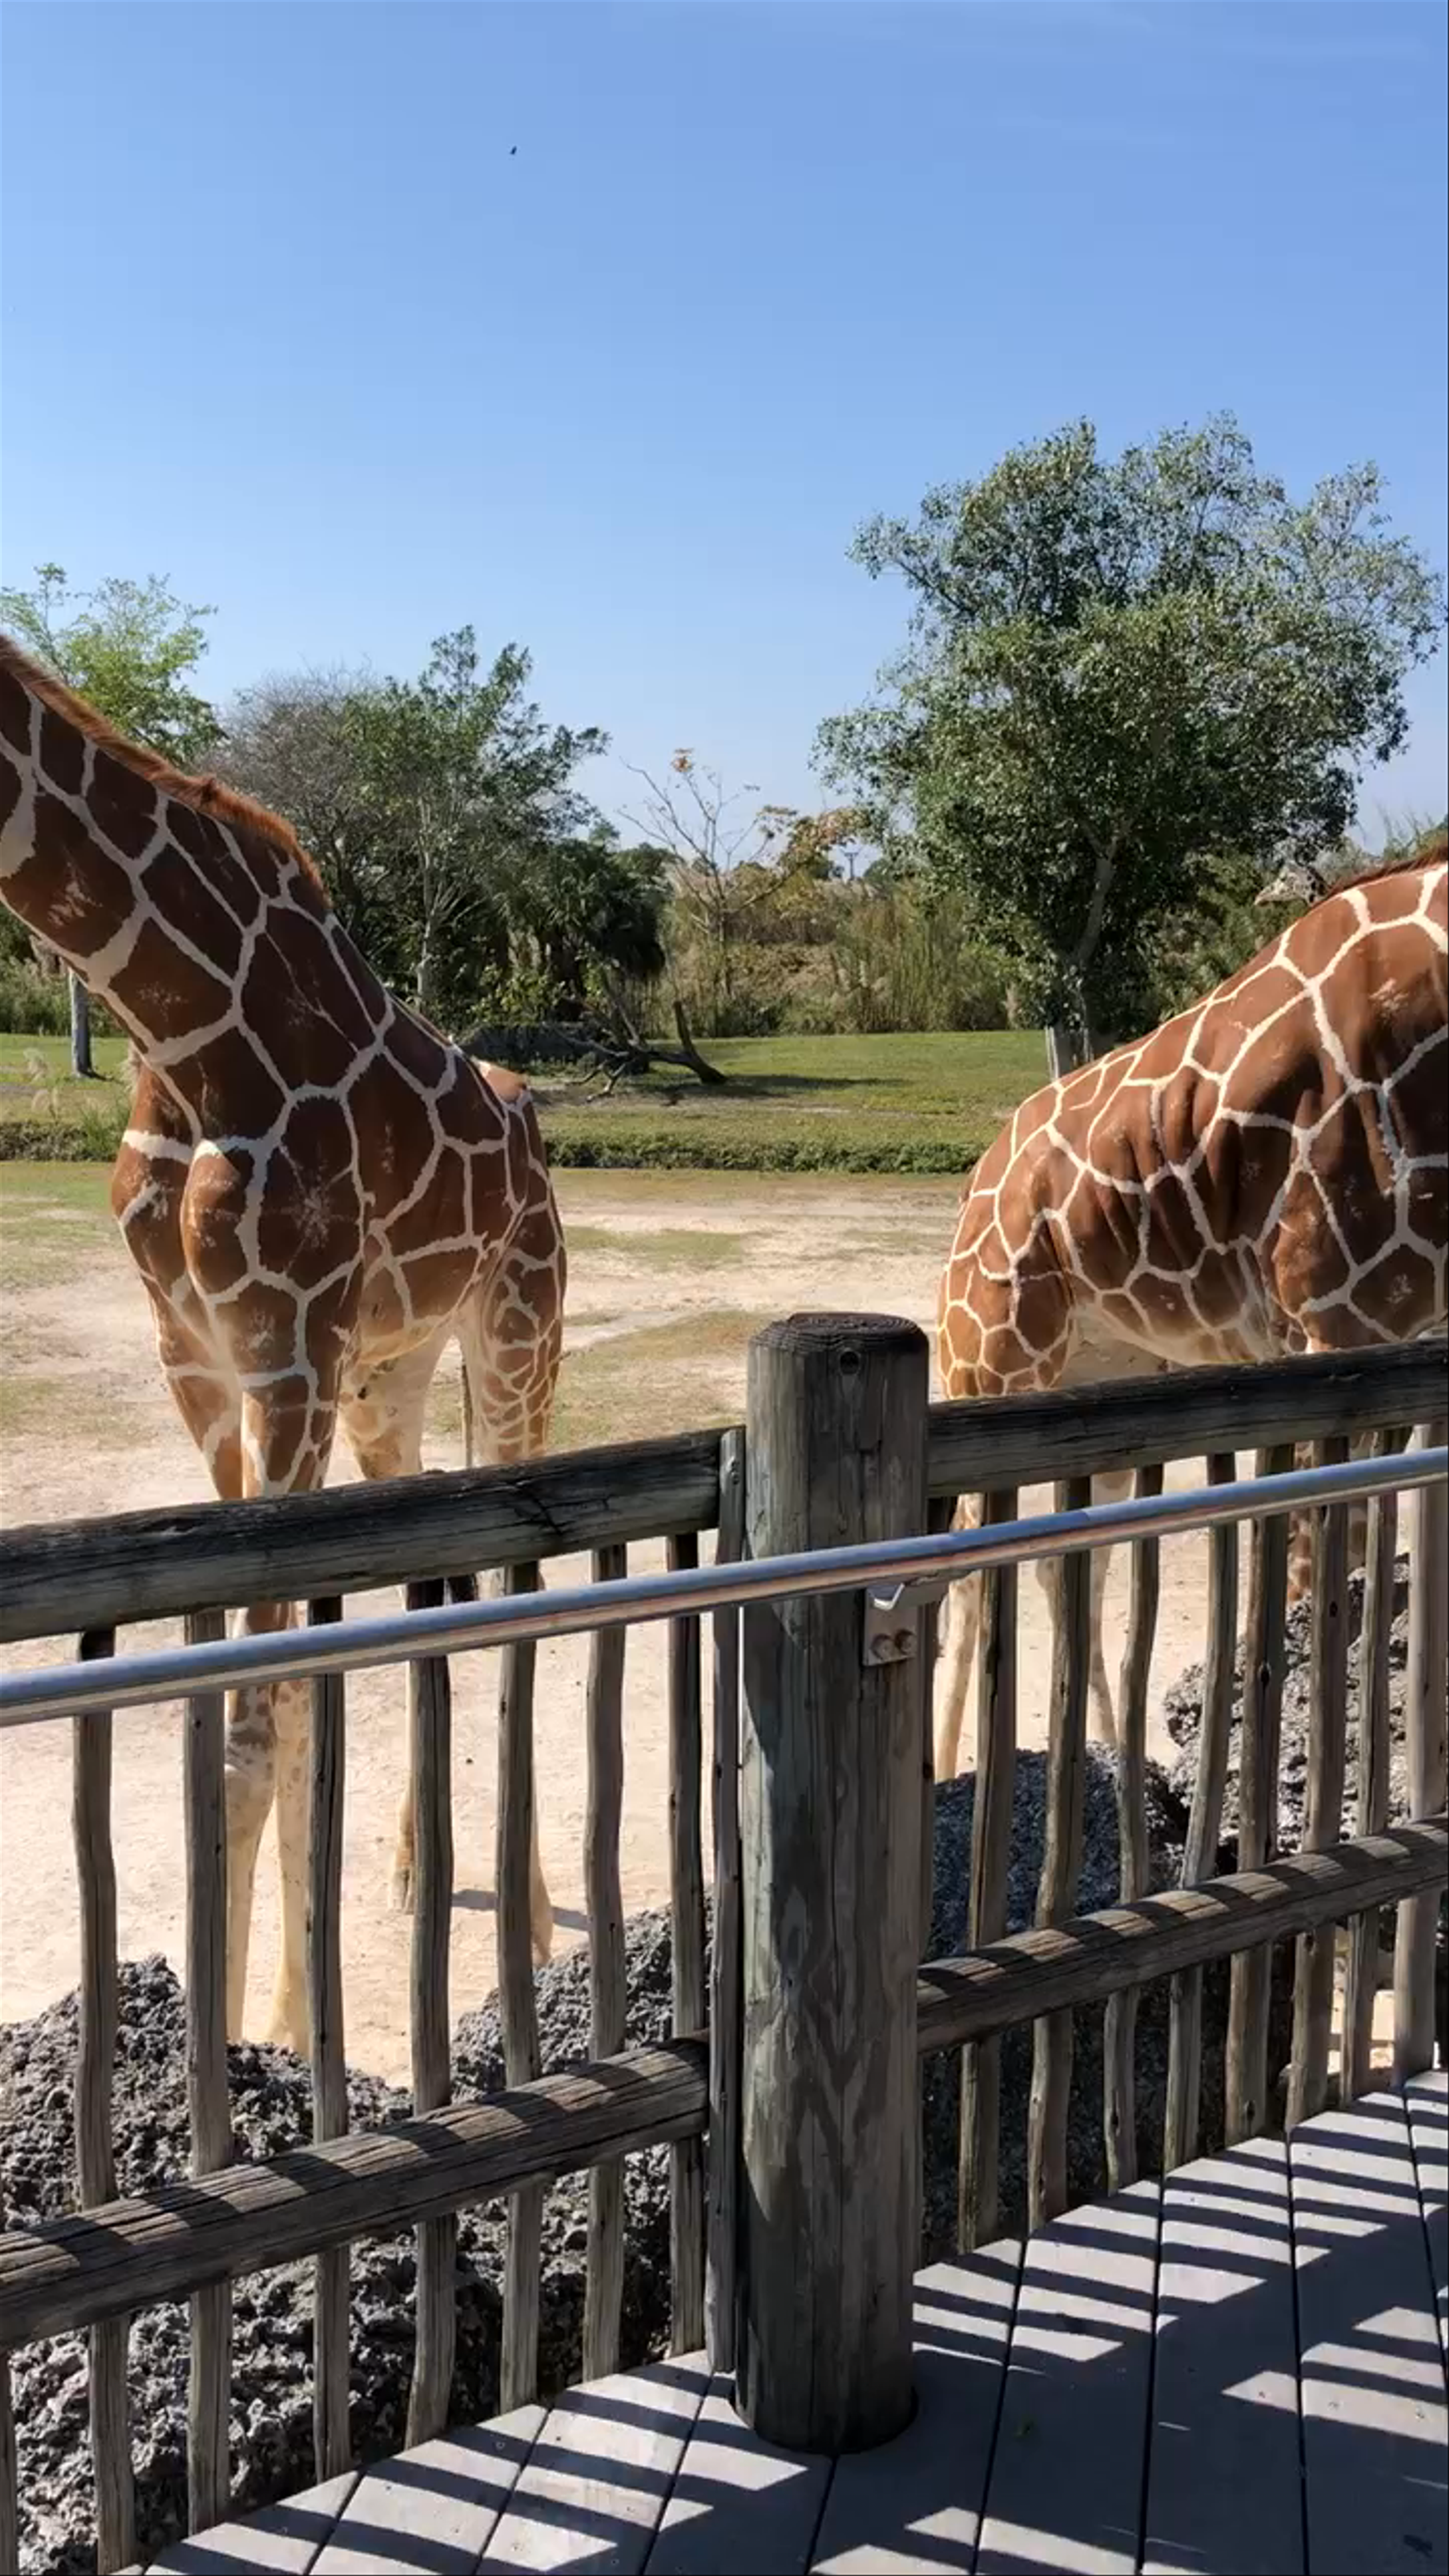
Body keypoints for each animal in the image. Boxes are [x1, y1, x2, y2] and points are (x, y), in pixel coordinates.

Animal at [0, 634, 567, 2054]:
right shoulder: (197, 1358)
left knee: (524, 1594)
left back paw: (534, 1919)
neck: (168, 1008)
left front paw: (274, 2038)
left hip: (516, 1336)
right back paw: (423, 1865)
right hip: (391, 1380)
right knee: (442, 1583)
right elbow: (258, 1688)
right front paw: (272, 2023)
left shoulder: (289, 1342)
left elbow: (268, 1709)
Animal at [933, 846, 1447, 1779]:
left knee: (1066, 1560)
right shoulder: (1335, 1318)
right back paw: (962, 1767)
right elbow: (1311, 1592)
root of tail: (978, 1177)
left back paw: (1104, 1750)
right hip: (987, 1352)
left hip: (1100, 1373)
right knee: (968, 1560)